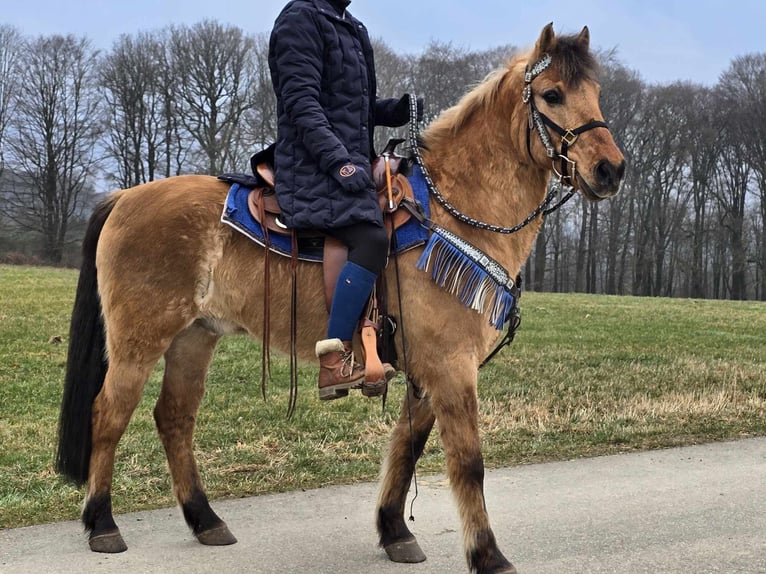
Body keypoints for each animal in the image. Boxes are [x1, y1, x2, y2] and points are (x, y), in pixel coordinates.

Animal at [57, 23, 628, 574]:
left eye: (596, 92)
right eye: (552, 94)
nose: (611, 169)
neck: (451, 210)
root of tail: (123, 197)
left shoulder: (428, 370)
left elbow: (407, 447)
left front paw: (394, 531)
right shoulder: (451, 365)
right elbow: (468, 463)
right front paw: (488, 556)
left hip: (194, 338)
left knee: (174, 418)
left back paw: (205, 520)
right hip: (139, 340)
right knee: (108, 414)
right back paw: (102, 523)